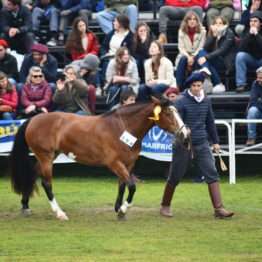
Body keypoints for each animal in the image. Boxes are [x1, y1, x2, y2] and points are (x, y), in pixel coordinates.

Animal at [7, 96, 188, 219]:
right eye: (168, 113)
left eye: (178, 112)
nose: (185, 134)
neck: (122, 128)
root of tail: (33, 119)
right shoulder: (115, 164)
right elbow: (131, 187)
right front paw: (123, 209)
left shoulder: (128, 164)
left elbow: (122, 185)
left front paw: (118, 209)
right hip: (45, 157)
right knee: (46, 183)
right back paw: (60, 213)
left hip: (48, 156)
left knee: (32, 176)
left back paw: (25, 206)